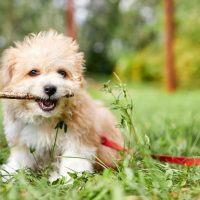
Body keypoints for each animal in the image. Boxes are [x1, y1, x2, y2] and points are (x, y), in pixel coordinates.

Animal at [0, 30, 122, 182]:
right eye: (33, 72)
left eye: (62, 73)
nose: (50, 88)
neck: (46, 120)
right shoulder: (21, 139)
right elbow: (20, 159)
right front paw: (10, 173)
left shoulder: (79, 139)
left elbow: (73, 161)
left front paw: (68, 180)